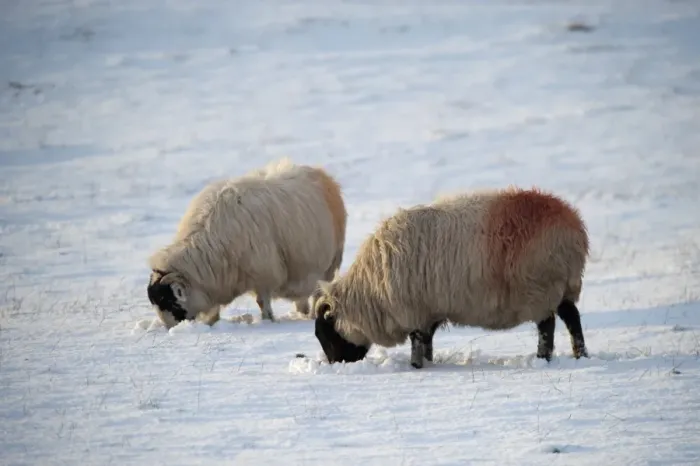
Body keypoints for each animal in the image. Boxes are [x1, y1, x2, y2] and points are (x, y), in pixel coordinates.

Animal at [147, 158, 347, 329]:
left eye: (169, 302)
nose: (170, 329)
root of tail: (320, 173)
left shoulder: (264, 273)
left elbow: (262, 301)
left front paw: (268, 320)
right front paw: (212, 321)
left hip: (328, 265)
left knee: (317, 293)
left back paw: (312, 314)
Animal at [312, 186, 590, 369]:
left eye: (326, 333)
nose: (337, 365)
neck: (369, 291)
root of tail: (574, 227)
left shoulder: (413, 310)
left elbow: (417, 341)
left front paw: (416, 366)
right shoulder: (430, 309)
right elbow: (427, 340)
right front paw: (428, 361)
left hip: (541, 287)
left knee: (547, 326)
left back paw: (544, 358)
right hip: (562, 286)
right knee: (572, 318)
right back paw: (580, 355)